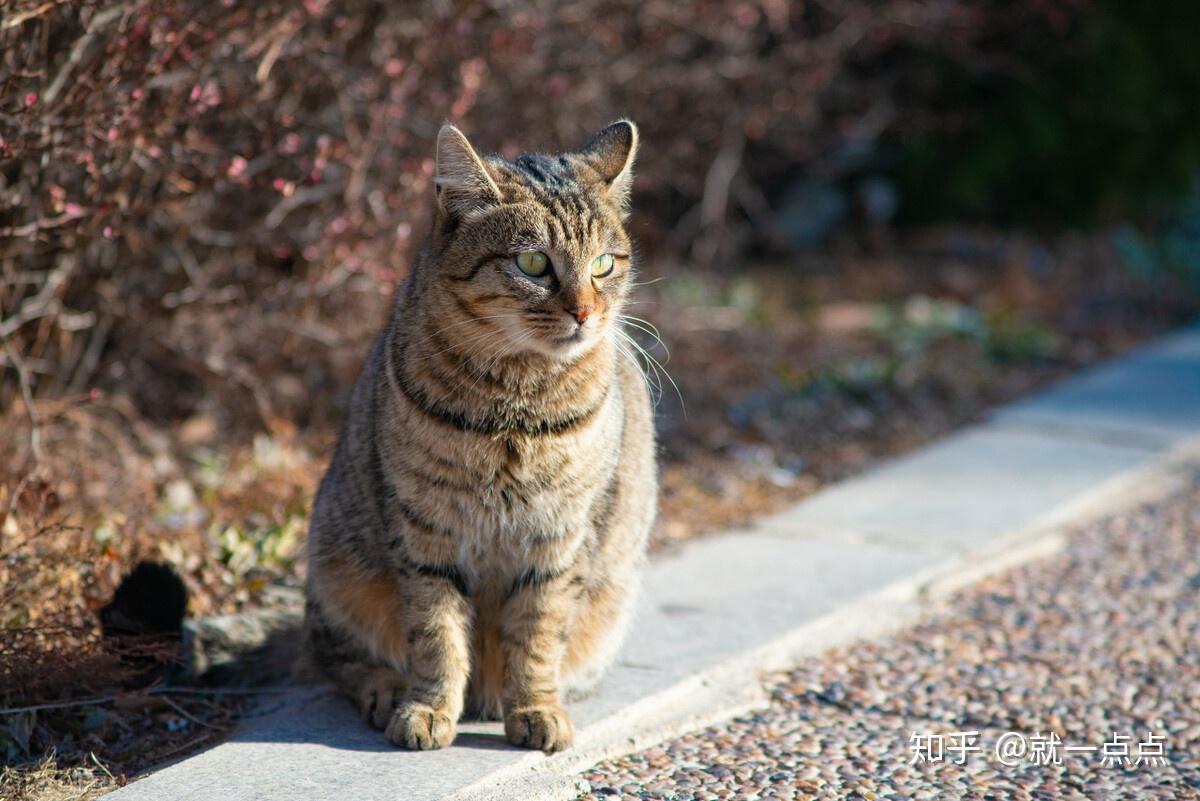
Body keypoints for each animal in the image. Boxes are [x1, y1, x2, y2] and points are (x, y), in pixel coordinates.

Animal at [298, 120, 657, 753]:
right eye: (534, 263)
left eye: (603, 264)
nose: (585, 313)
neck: (516, 405)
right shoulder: (425, 533)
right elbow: (436, 634)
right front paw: (427, 709)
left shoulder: (560, 537)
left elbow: (537, 635)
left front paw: (536, 708)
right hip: (336, 563)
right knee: (334, 653)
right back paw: (385, 688)